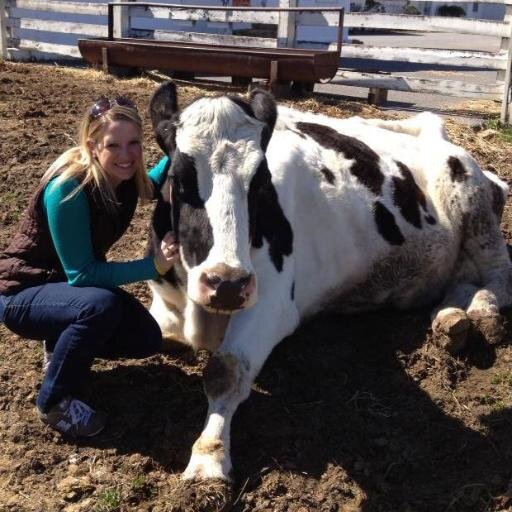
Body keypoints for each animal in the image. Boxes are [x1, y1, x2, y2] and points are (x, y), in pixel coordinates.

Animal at [147, 82, 508, 482]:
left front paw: (209, 457)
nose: (226, 284)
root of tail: (435, 130)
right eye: (178, 178)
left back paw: (484, 310)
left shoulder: (274, 302)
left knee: (499, 274)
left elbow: (226, 370)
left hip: (470, 198)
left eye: (261, 182)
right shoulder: (164, 304)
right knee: (461, 281)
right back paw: (451, 319)